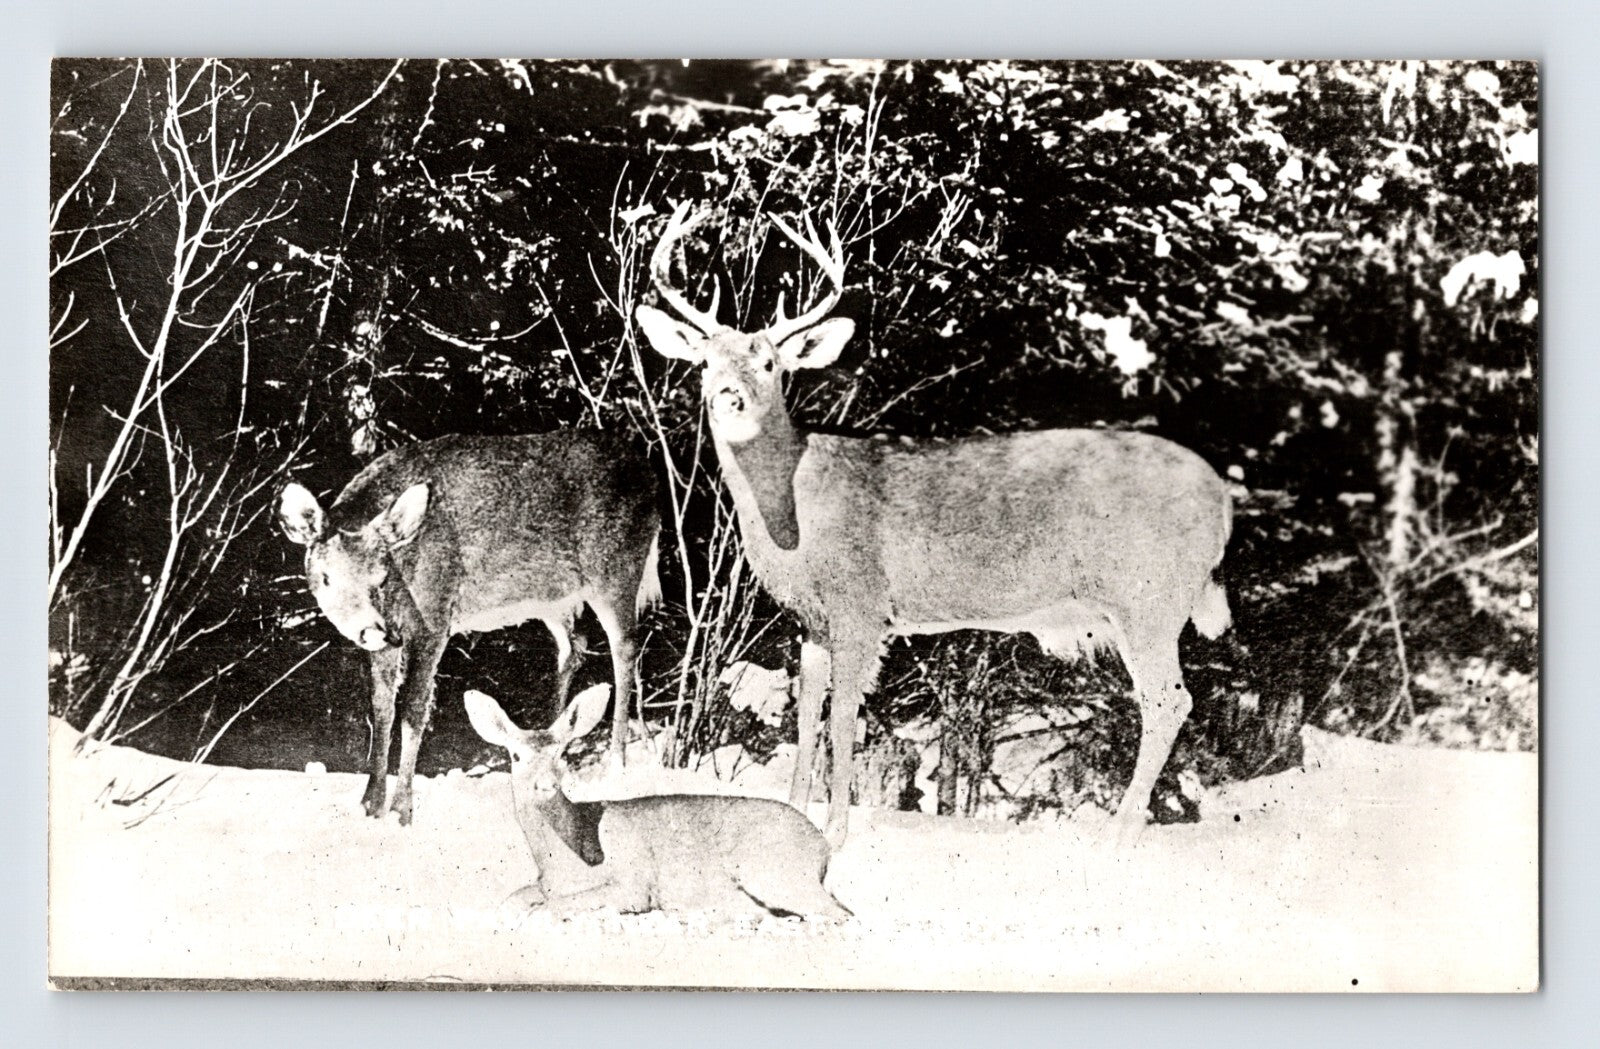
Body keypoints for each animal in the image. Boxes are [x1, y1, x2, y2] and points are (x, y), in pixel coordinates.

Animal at [277, 431, 661, 825]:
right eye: (326, 577)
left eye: (380, 579)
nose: (370, 630)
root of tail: (648, 474)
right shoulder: (392, 635)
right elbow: (381, 707)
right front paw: (370, 804)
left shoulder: (434, 616)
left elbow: (414, 710)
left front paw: (401, 811)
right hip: (553, 598)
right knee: (574, 647)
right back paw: (552, 743)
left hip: (616, 569)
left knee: (625, 649)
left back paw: (616, 767)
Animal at [464, 683, 852, 919]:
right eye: (515, 755)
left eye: (563, 753)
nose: (545, 784)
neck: (565, 860)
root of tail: (823, 846)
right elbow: (509, 901)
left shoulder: (631, 883)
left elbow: (548, 908)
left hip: (773, 868)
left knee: (840, 914)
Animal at [634, 204, 1234, 849]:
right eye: (705, 362)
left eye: (769, 363)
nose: (729, 397)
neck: (795, 517)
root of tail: (1222, 498)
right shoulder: (812, 620)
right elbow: (806, 709)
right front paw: (794, 814)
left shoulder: (861, 602)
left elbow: (843, 714)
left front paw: (836, 832)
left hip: (1148, 595)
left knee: (1168, 701)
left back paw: (1117, 836)